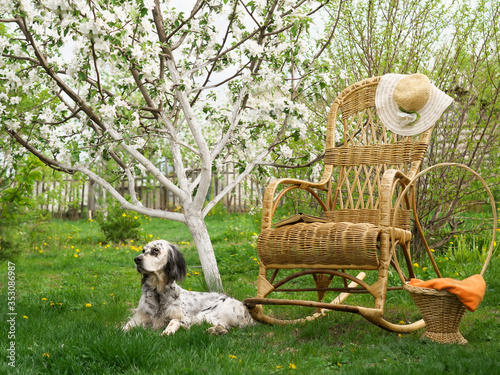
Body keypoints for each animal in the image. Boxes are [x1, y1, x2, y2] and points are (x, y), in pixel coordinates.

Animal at [121, 241, 254, 338]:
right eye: (143, 250)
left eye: (155, 250)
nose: (136, 259)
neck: (158, 293)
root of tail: (244, 308)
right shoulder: (138, 318)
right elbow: (125, 327)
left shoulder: (185, 319)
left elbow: (174, 321)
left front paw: (168, 331)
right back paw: (217, 330)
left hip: (204, 315)